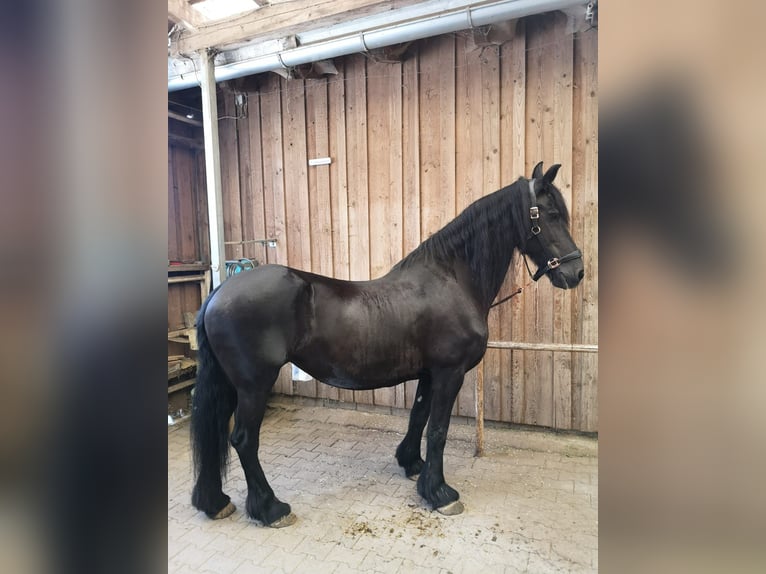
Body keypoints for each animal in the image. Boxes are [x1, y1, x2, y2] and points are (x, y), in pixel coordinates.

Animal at [190, 162, 584, 527]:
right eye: (550, 215)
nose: (576, 272)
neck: (451, 280)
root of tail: (218, 295)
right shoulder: (450, 372)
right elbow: (438, 430)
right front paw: (440, 493)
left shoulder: (429, 373)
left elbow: (419, 417)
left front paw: (413, 465)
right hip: (255, 385)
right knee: (243, 440)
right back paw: (271, 508)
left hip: (230, 385)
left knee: (215, 433)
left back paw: (215, 502)